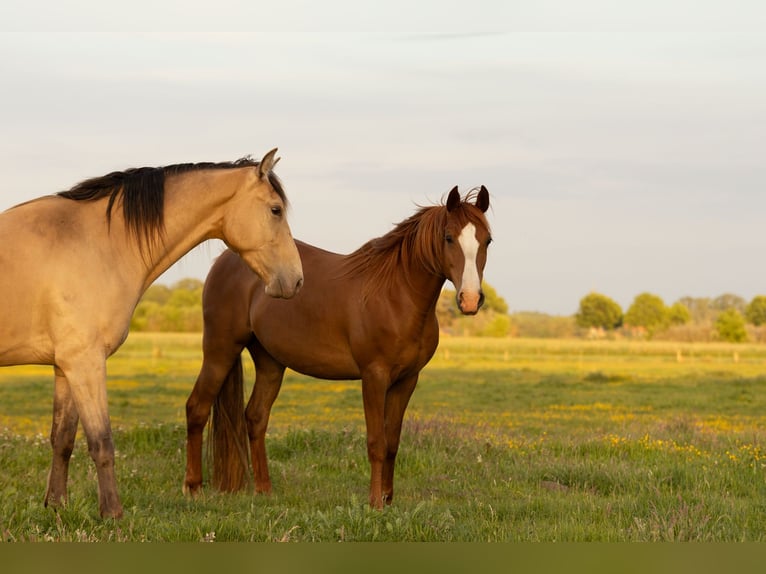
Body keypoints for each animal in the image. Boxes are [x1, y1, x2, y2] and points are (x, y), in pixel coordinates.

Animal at [0, 148, 303, 518]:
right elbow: (101, 441)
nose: (296, 280)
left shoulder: (65, 366)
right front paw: (112, 514)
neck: (94, 243)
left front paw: (56, 506)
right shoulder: (86, 363)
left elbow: (63, 439)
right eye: (275, 210)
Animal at [184, 185, 491, 508]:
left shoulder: (407, 380)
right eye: (448, 237)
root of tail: (226, 260)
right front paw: (375, 503)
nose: (470, 299)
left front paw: (388, 498)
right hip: (220, 351)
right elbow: (377, 442)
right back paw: (193, 487)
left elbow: (392, 442)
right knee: (197, 408)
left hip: (270, 362)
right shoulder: (374, 376)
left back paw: (264, 490)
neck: (396, 295)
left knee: (255, 417)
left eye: (487, 240)